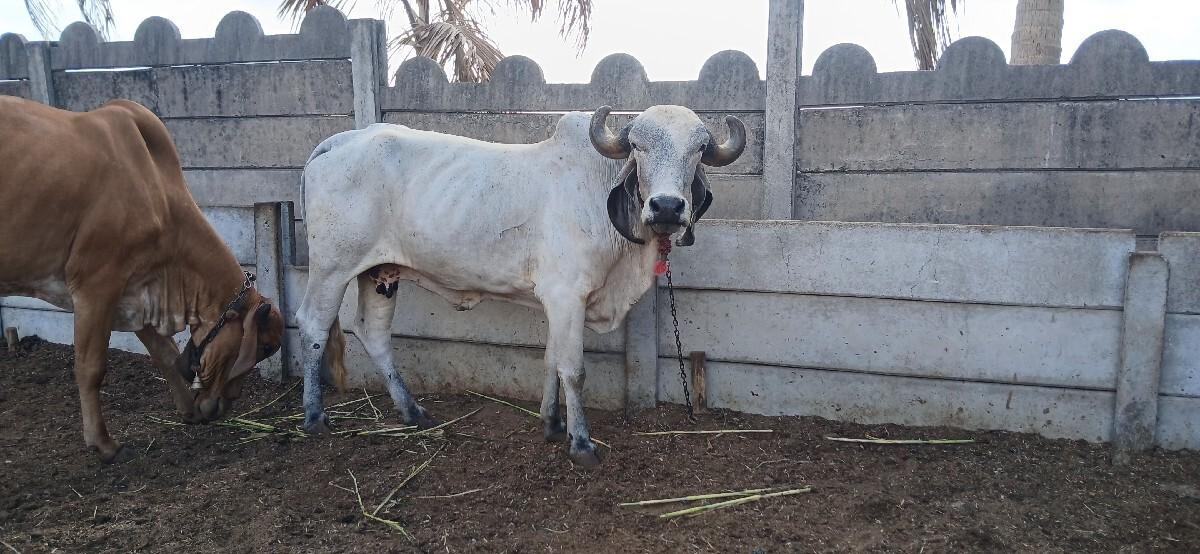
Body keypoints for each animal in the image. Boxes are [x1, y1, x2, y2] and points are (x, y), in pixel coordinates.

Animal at [0, 97, 285, 463]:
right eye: (264, 347)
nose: (222, 406)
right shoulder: (97, 285)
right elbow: (90, 367)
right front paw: (103, 443)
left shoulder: (135, 290)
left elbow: (165, 353)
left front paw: (188, 410)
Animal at [296, 105, 745, 467]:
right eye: (637, 145)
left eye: (699, 149)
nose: (667, 206)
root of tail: (340, 141)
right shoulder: (567, 295)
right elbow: (573, 370)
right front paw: (581, 443)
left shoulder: (557, 301)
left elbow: (550, 359)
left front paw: (552, 422)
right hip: (332, 267)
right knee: (313, 326)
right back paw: (315, 417)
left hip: (381, 272)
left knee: (373, 332)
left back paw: (413, 412)